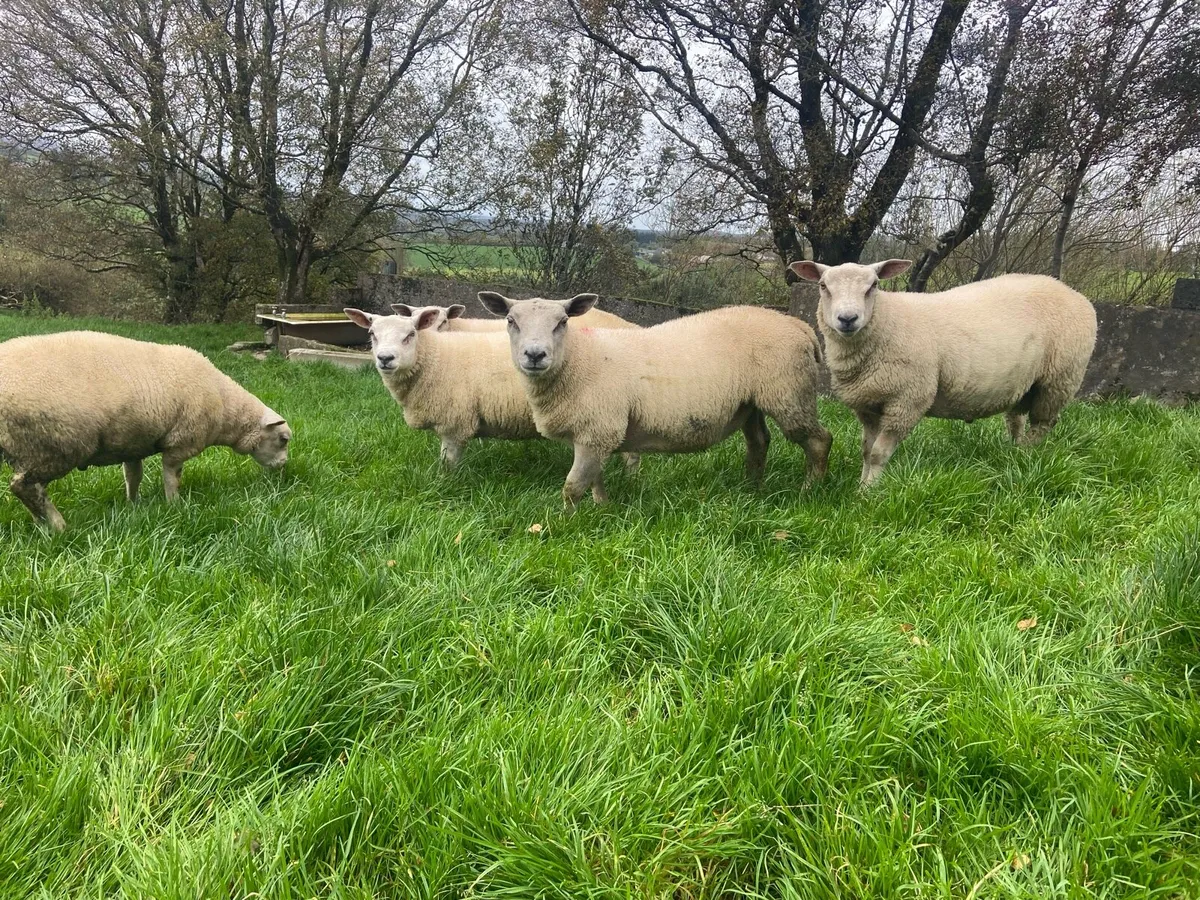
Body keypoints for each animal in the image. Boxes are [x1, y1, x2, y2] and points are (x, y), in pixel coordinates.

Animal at [0, 331, 291, 531]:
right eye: (283, 439)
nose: (283, 468)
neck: (226, 407)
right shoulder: (181, 443)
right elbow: (172, 478)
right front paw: (175, 506)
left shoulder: (132, 443)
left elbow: (133, 476)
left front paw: (133, 505)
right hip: (54, 443)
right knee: (25, 486)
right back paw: (59, 526)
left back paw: (42, 525)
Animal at [343, 306, 641, 477]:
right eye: (372, 334)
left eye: (410, 335)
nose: (385, 358)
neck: (435, 358)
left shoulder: (455, 422)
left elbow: (448, 463)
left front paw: (446, 485)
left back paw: (631, 481)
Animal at [478, 291, 831, 509]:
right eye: (511, 321)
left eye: (562, 322)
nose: (535, 355)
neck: (578, 360)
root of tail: (799, 326)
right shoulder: (597, 433)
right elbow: (594, 479)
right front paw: (602, 508)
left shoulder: (598, 429)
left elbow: (573, 486)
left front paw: (564, 524)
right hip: (752, 402)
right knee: (759, 441)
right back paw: (751, 489)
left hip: (788, 392)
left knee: (819, 441)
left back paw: (808, 492)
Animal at [789, 259, 1098, 486]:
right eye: (823, 286)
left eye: (873, 285)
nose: (847, 319)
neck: (888, 323)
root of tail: (1072, 291)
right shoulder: (869, 405)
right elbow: (866, 451)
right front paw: (861, 486)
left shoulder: (907, 401)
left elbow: (878, 454)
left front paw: (869, 494)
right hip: (1025, 382)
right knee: (1015, 419)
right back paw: (1013, 451)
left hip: (1058, 379)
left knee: (1043, 424)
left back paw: (1025, 455)